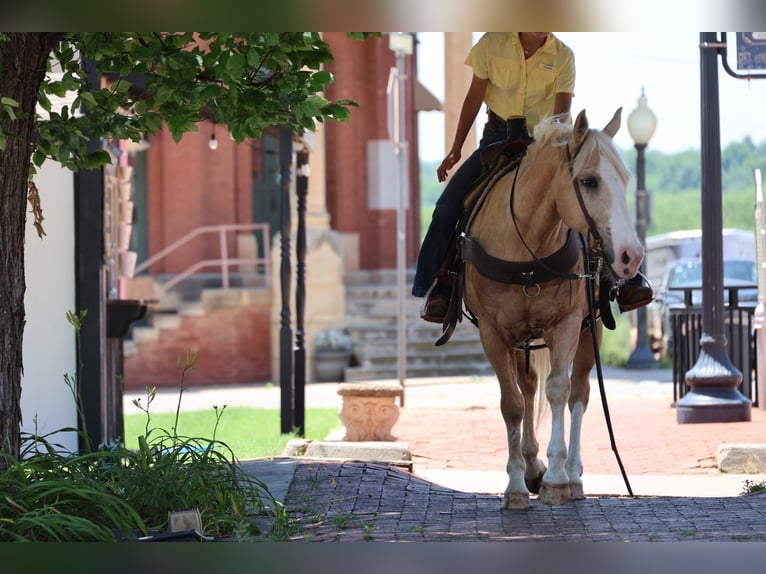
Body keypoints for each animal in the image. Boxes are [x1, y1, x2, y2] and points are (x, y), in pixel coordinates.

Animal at [459, 108, 643, 509]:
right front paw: (515, 484)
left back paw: (572, 475)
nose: (631, 255)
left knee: (579, 393)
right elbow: (512, 403)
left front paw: (556, 480)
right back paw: (531, 466)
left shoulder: (567, 324)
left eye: (625, 179)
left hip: (591, 331)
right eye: (589, 181)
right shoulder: (494, 333)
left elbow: (559, 389)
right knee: (527, 387)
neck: (527, 247)